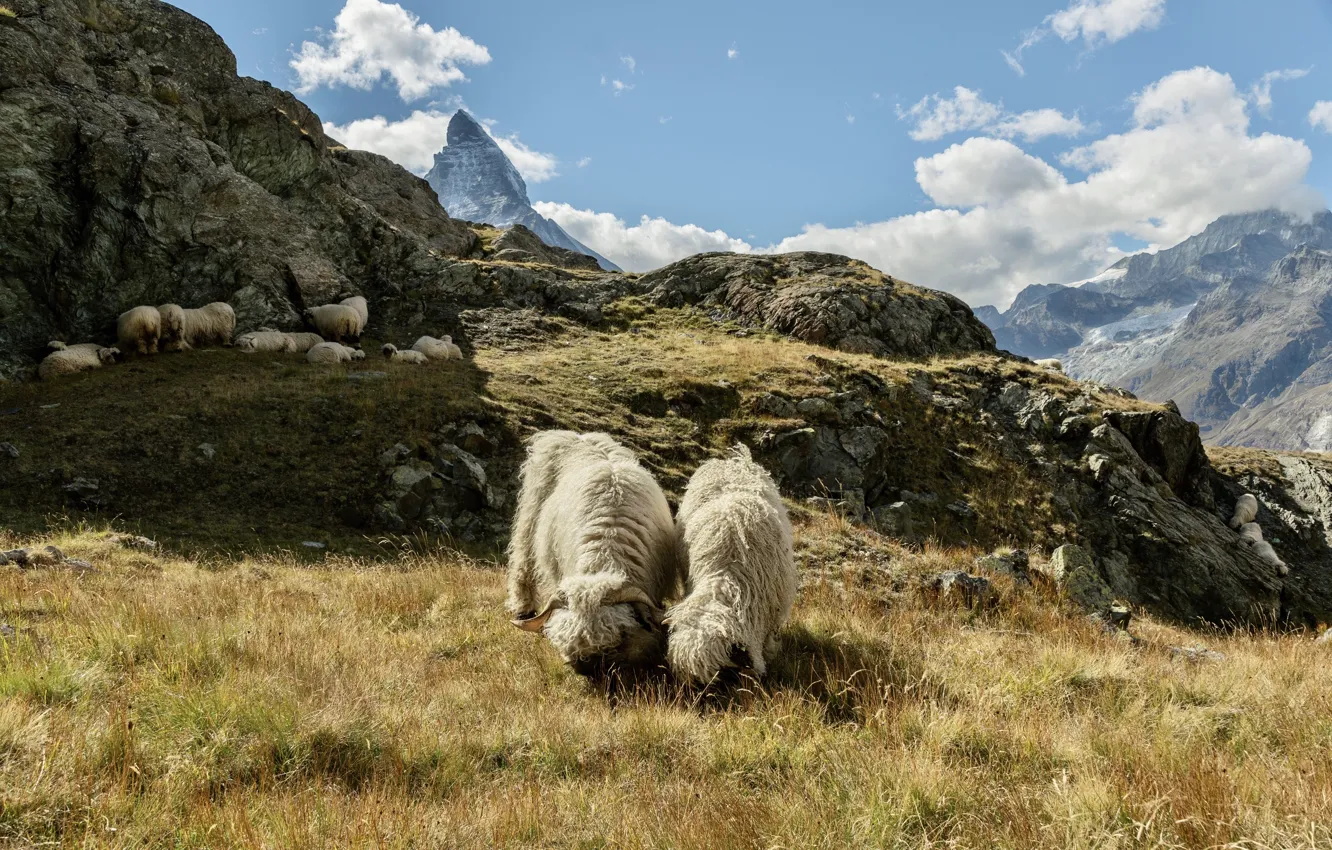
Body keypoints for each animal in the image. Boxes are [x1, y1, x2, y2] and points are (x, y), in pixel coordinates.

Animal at [507, 431, 680, 672]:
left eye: (620, 638)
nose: (585, 667)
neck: (606, 548)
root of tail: (576, 436)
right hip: (530, 514)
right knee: (523, 562)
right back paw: (523, 608)